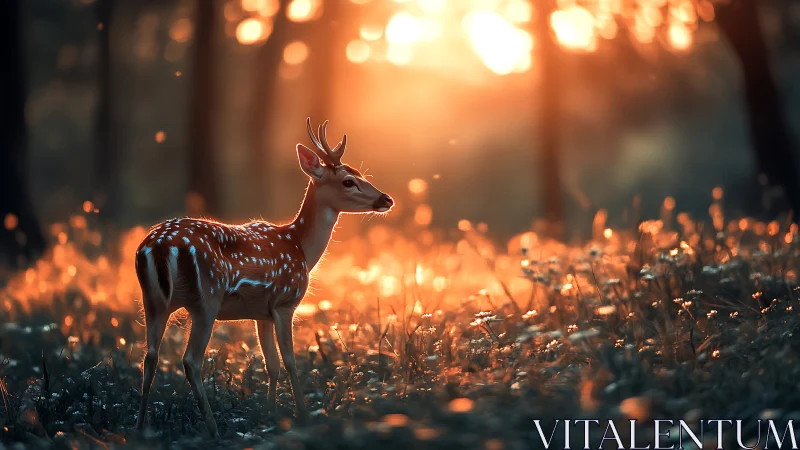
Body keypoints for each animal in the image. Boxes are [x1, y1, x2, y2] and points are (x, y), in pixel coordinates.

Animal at [133, 118, 394, 437]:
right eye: (347, 181)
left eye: (361, 174)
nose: (386, 198)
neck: (299, 248)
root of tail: (158, 246)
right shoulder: (285, 302)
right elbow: (291, 361)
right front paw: (302, 415)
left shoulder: (261, 313)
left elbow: (272, 364)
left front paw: (268, 415)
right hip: (206, 299)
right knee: (190, 360)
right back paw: (214, 429)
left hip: (153, 301)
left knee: (149, 356)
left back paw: (140, 428)